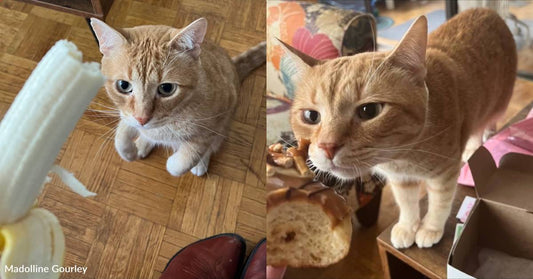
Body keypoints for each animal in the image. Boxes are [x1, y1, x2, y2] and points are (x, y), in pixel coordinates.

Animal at [282, 8, 516, 249]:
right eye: (311, 116)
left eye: (369, 111)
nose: (327, 146)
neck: (402, 157)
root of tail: (487, 10)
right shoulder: (400, 180)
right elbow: (407, 203)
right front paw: (408, 227)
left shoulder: (445, 172)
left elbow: (439, 201)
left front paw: (430, 228)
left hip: (497, 105)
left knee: (484, 125)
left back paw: (475, 145)